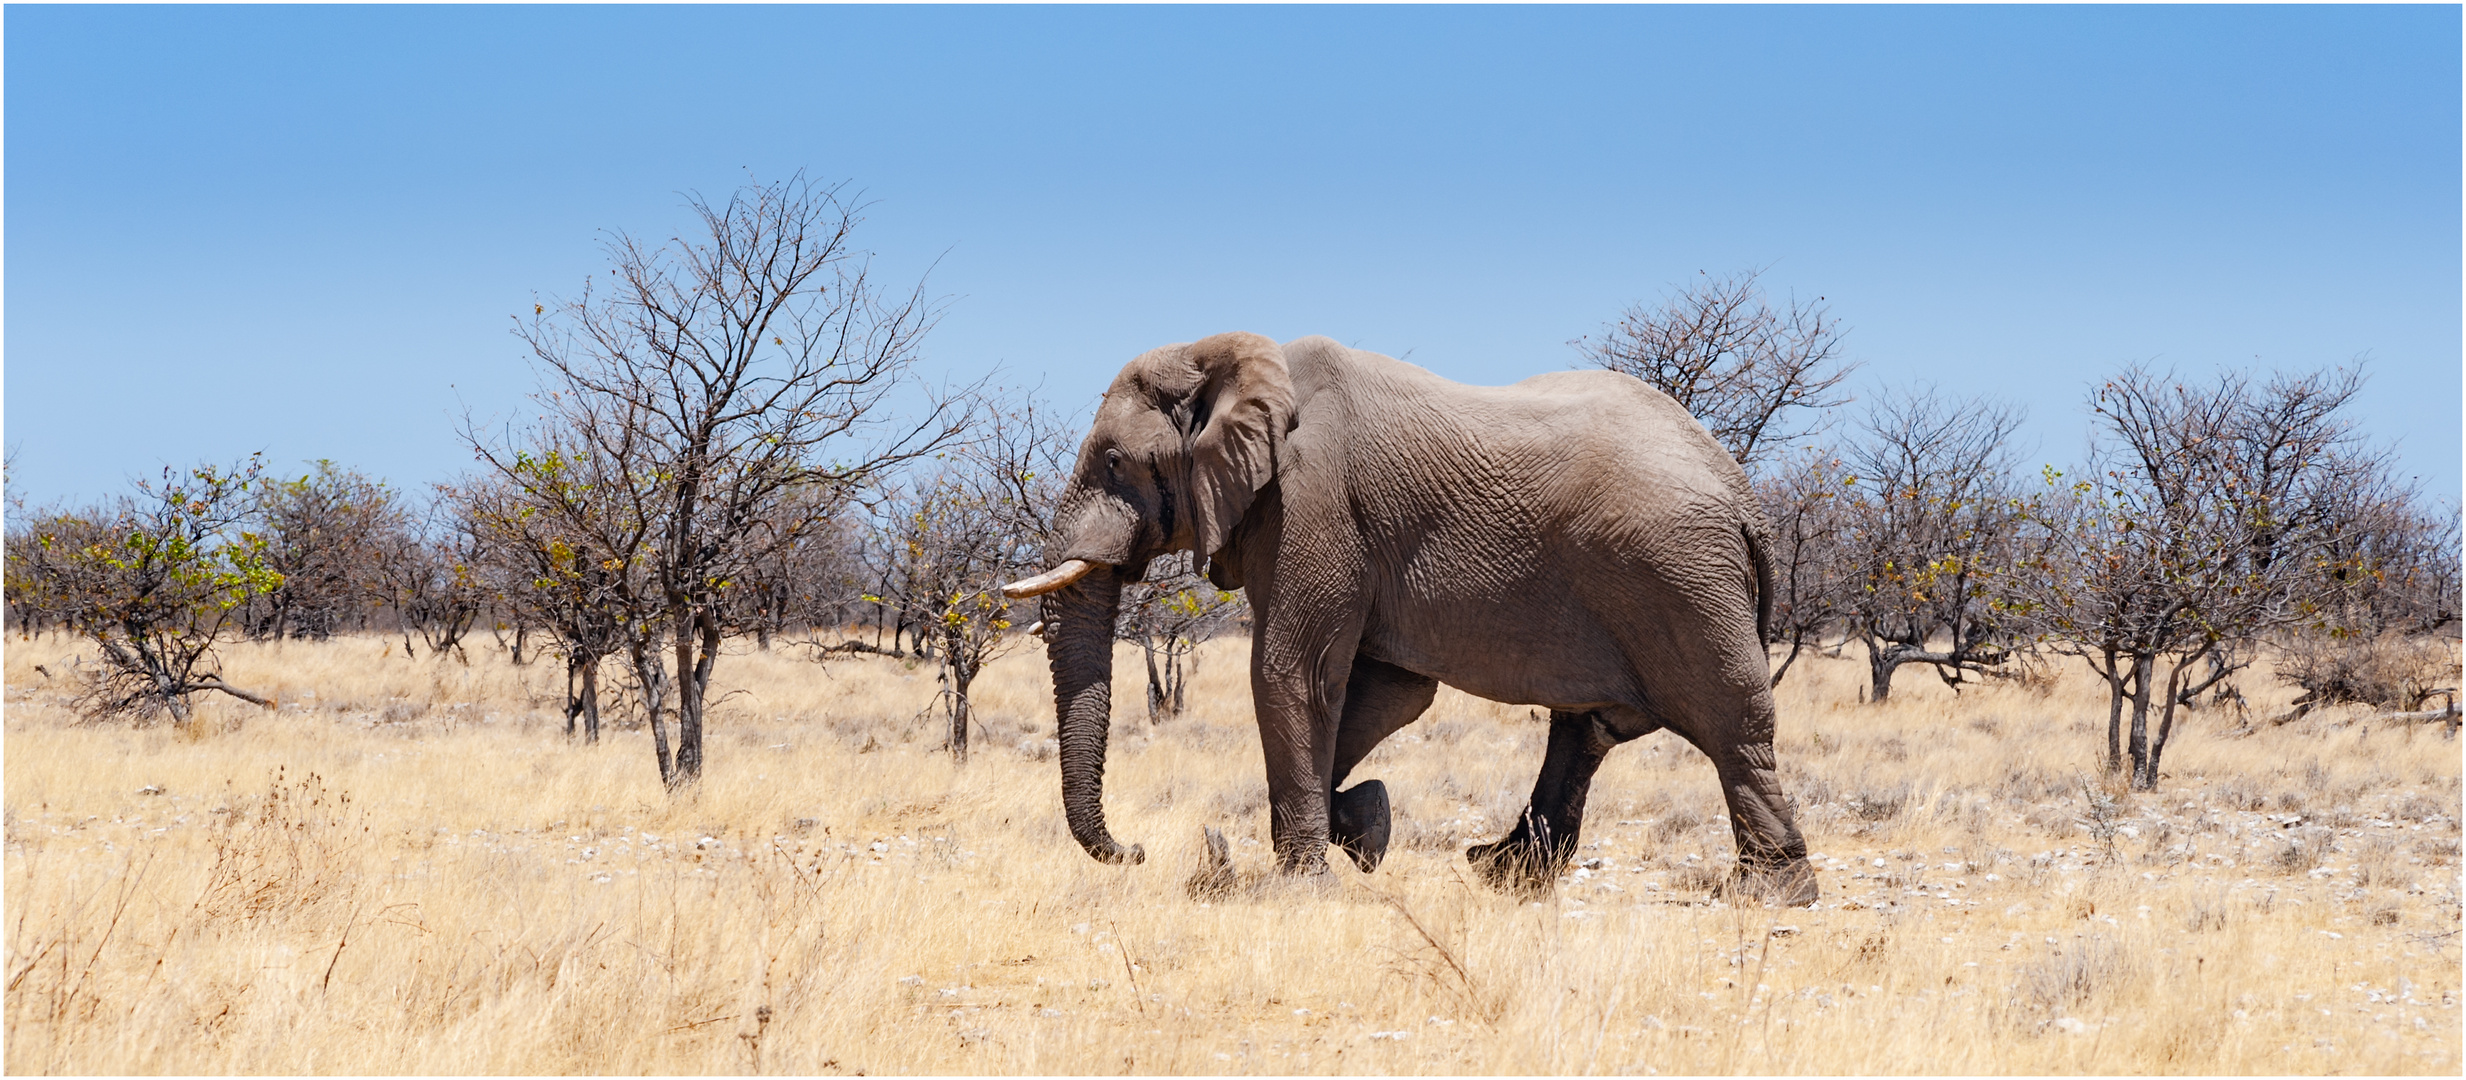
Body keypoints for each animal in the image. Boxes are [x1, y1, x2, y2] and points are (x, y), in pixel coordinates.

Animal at [1006, 330, 1834, 902]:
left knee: (1730, 723)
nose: (1137, 851)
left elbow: (1292, 673)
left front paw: (1302, 883)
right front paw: (1365, 827)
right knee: (1586, 728)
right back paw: (1502, 872)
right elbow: (1388, 692)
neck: (1230, 358)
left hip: (1682, 579)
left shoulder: (1314, 504)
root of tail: (1743, 493)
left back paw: (1771, 895)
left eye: (1115, 463)